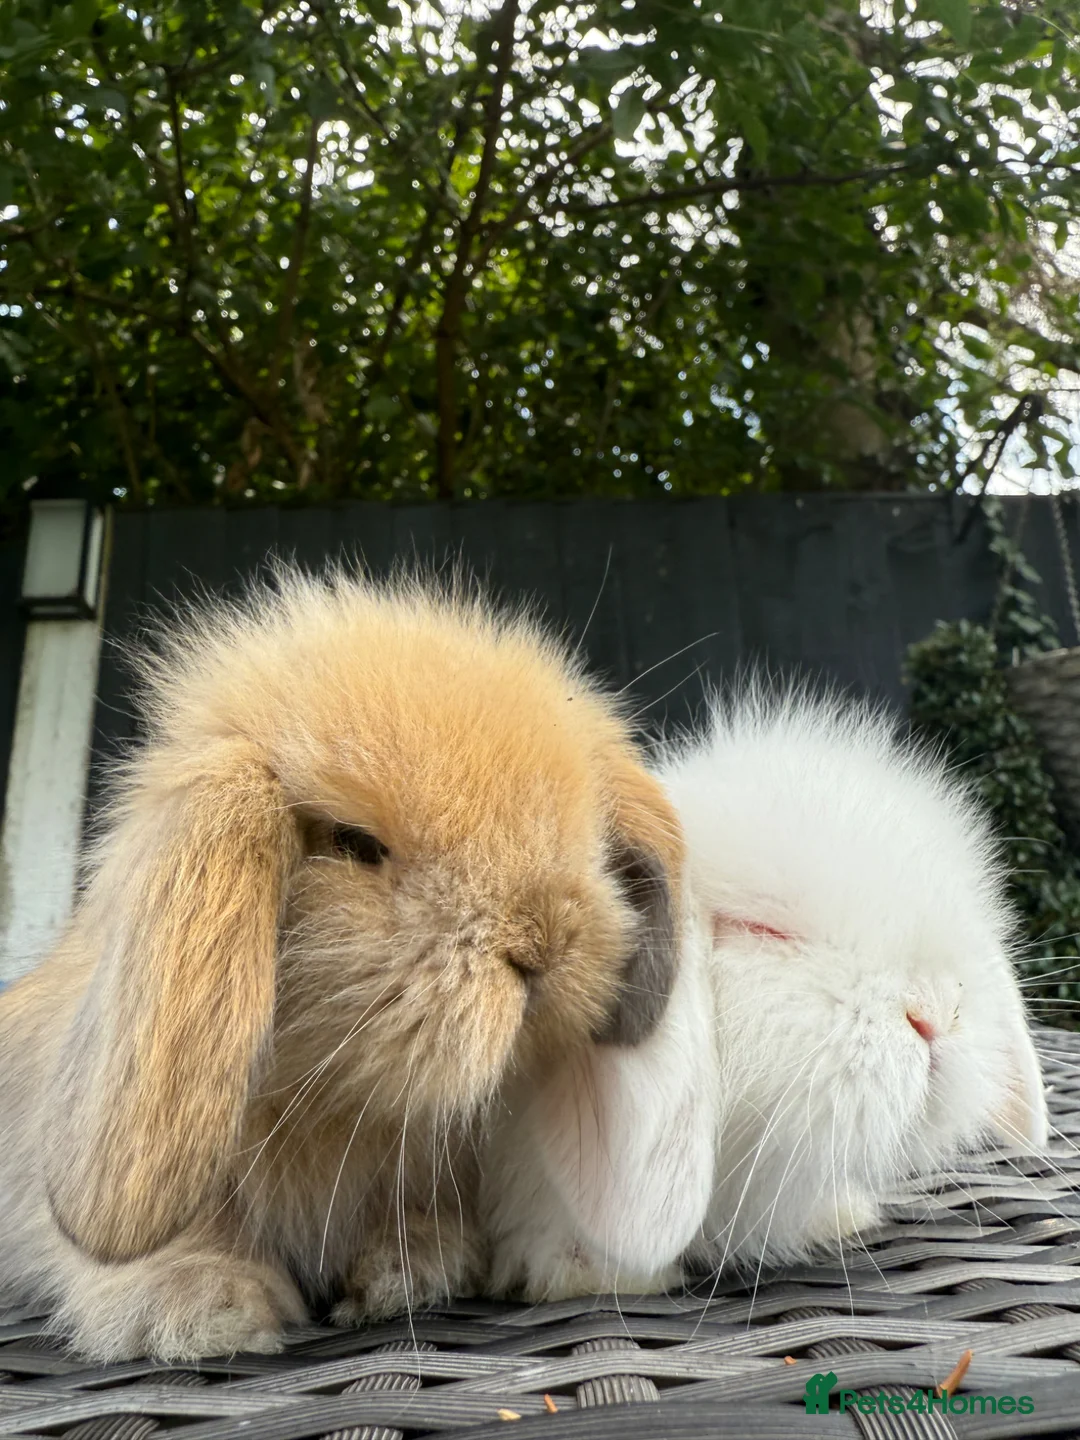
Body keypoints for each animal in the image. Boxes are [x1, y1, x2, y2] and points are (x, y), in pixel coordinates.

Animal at [0, 567, 686, 1361]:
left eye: (587, 833)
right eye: (354, 842)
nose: (542, 943)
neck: (337, 1103)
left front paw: (407, 1272)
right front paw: (209, 1307)